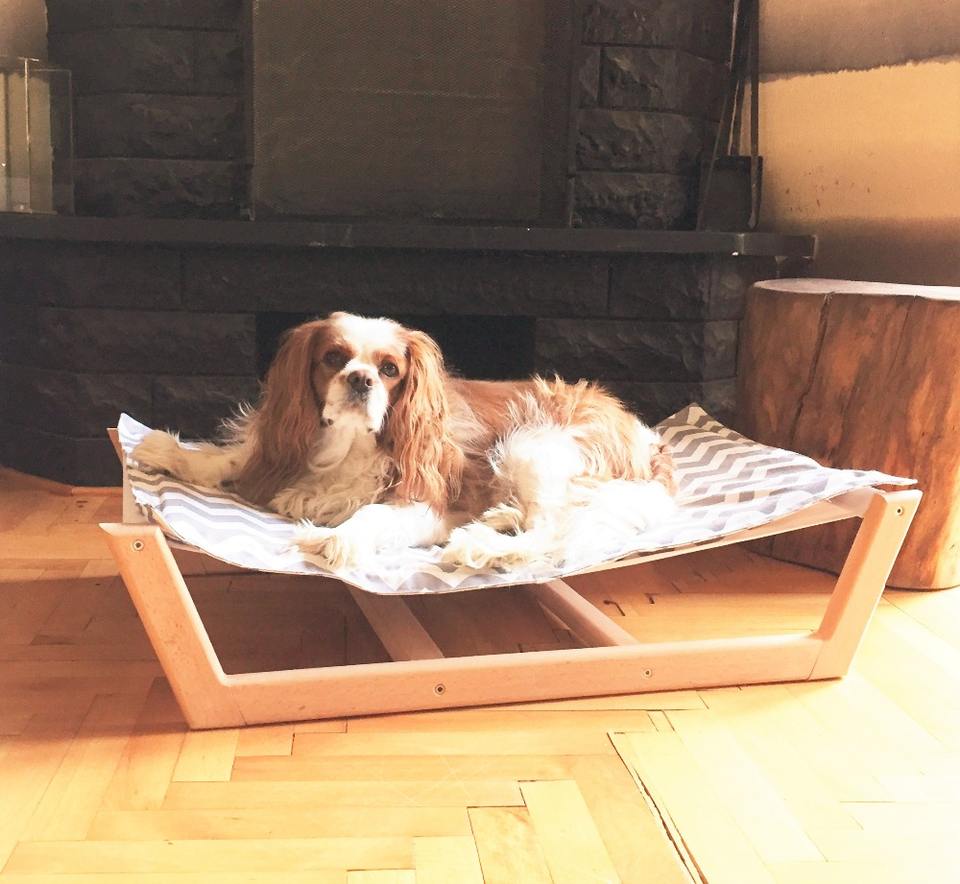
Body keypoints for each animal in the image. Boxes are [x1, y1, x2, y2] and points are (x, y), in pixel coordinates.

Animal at [132, 312, 676, 571]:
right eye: (333, 358)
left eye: (390, 370)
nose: (361, 379)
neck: (347, 446)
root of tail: (649, 441)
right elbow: (232, 461)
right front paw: (170, 452)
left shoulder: (426, 504)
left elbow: (371, 515)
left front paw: (336, 538)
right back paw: (500, 519)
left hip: (535, 444)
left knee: (551, 532)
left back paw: (481, 546)